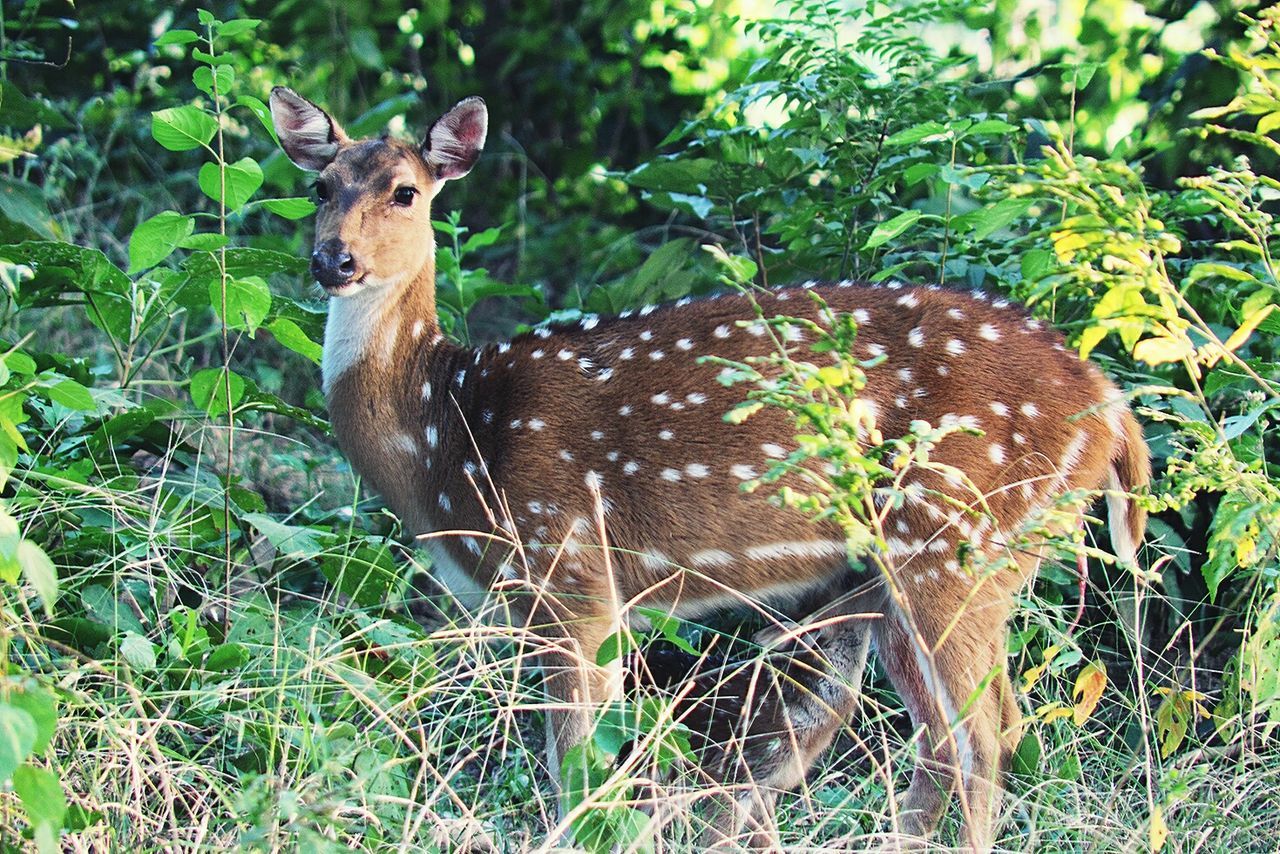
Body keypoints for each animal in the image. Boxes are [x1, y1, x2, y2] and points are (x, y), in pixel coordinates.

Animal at [270, 87, 1152, 850]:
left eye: (407, 192)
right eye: (319, 186)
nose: (333, 260)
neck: (445, 439)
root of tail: (1110, 407)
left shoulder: (572, 566)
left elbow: (578, 770)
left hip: (952, 537)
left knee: (984, 739)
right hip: (926, 570)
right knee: (947, 740)